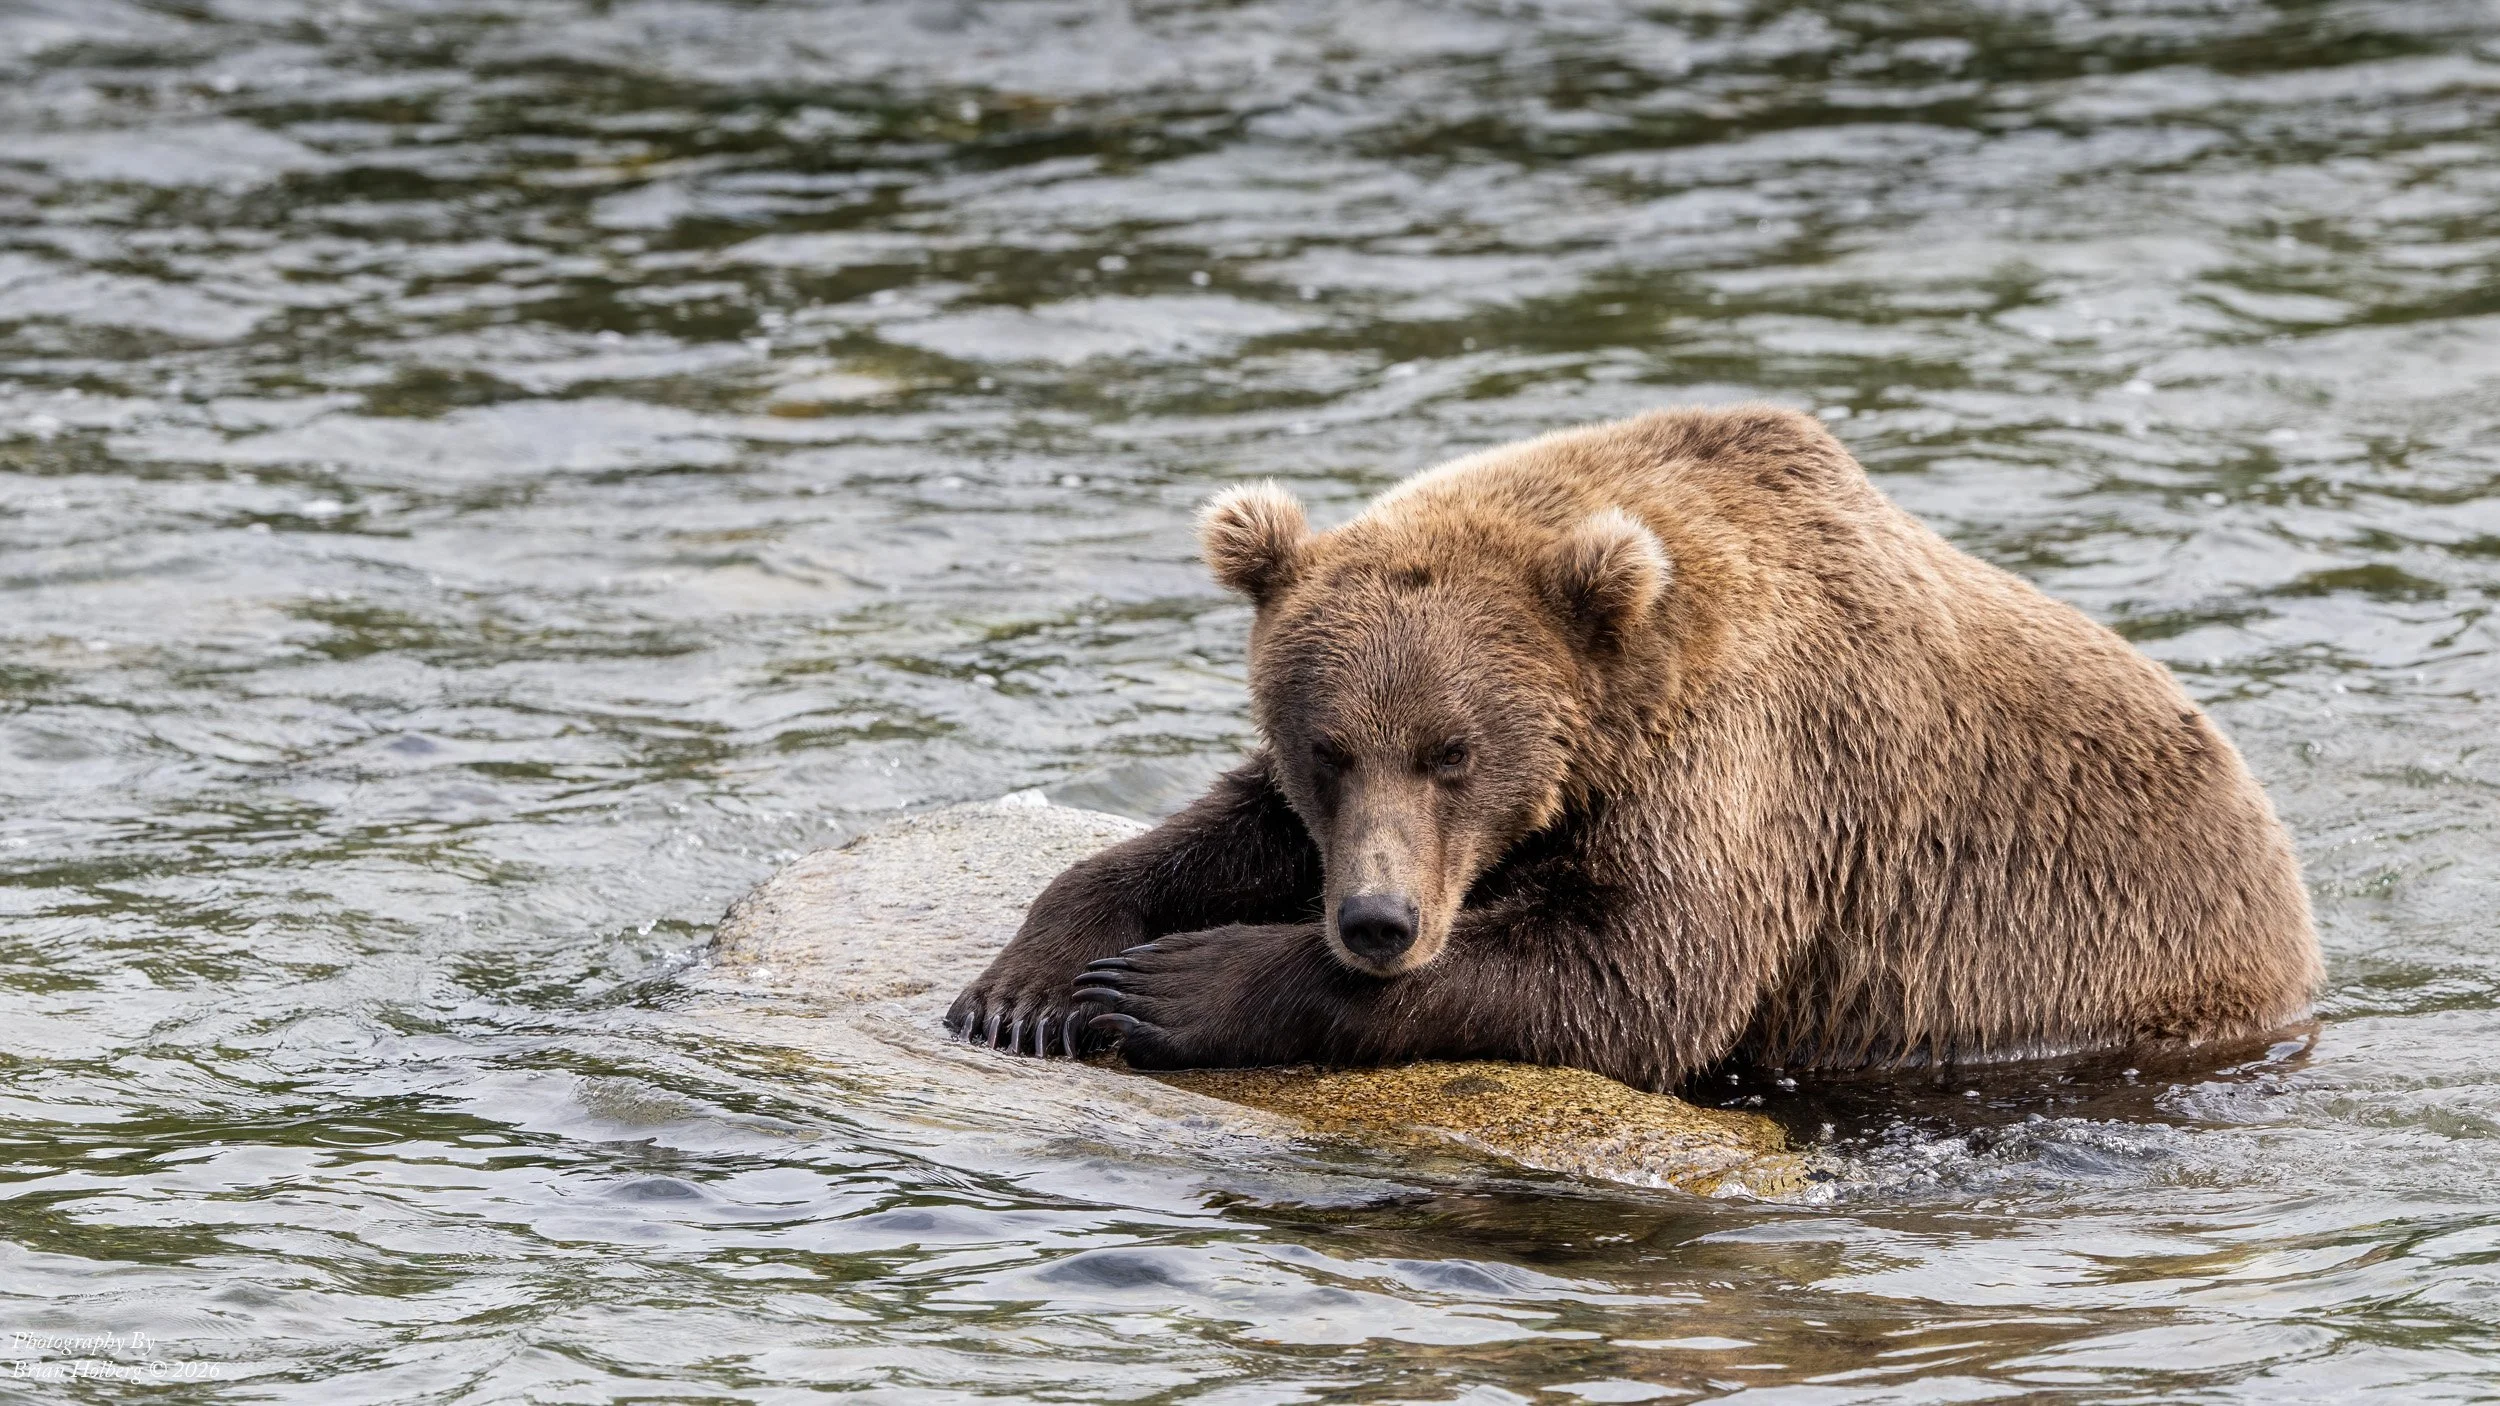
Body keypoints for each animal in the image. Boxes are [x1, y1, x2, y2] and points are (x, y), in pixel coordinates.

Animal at [945, 405, 2322, 1092]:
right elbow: (1214, 832)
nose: (1378, 919)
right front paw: (1025, 982)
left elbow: (1643, 970)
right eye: (1326, 748)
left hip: (2087, 972)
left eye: (1454, 751)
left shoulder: (1754, 768)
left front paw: (1176, 986)